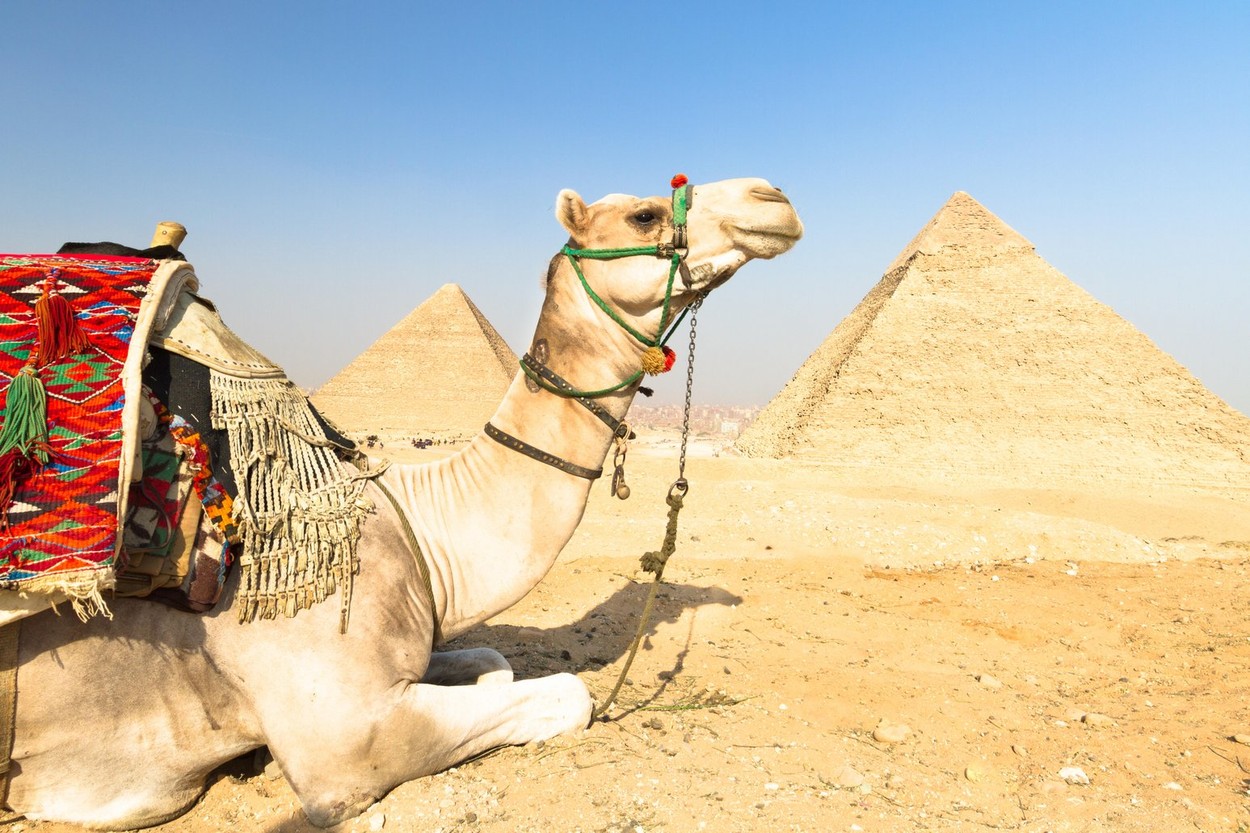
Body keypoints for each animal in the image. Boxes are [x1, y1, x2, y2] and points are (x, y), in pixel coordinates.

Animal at [4, 176, 802, 829]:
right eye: (643, 212)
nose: (773, 198)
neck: (414, 524)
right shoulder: (343, 743)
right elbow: (571, 693)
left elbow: (496, 661)